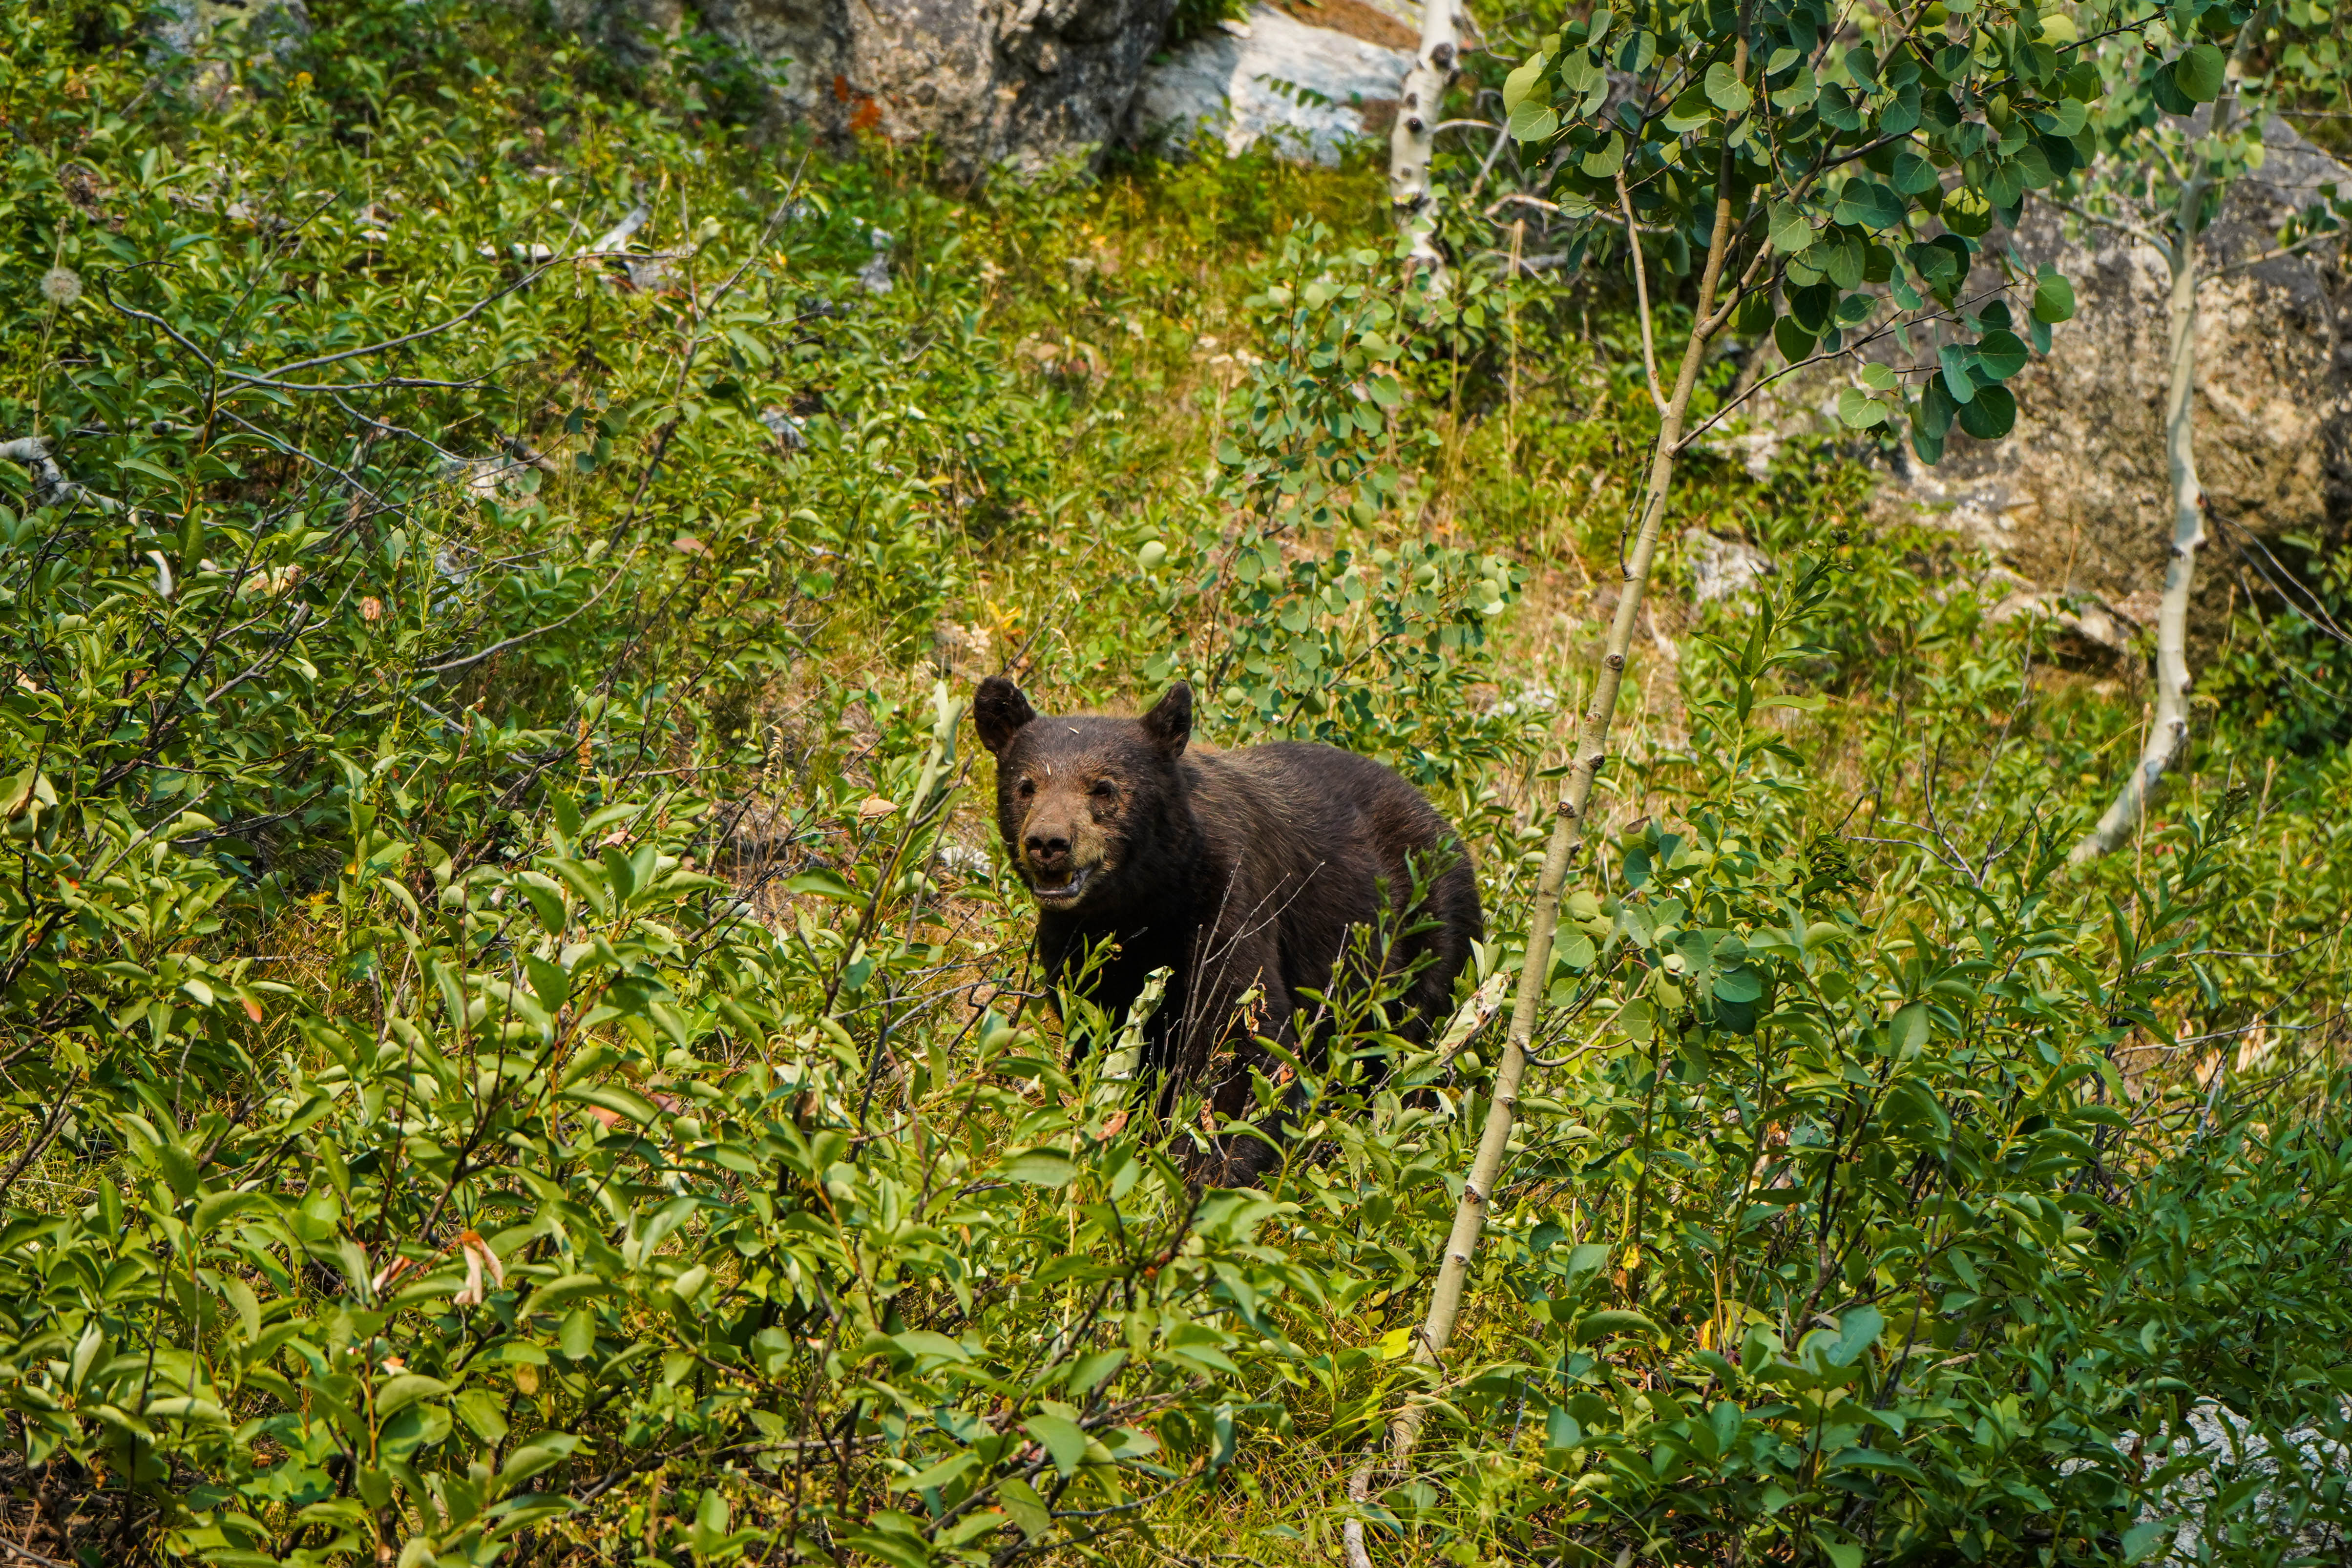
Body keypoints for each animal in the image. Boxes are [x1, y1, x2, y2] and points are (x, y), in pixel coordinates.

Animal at [973, 675, 1482, 1185]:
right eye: (1026, 785)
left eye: (1103, 787)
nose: (1048, 842)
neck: (1143, 899)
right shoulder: (1078, 945)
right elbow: (1100, 1034)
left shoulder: (1225, 902)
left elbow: (1243, 1036)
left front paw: (1204, 1169)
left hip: (1431, 927)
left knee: (1411, 1046)